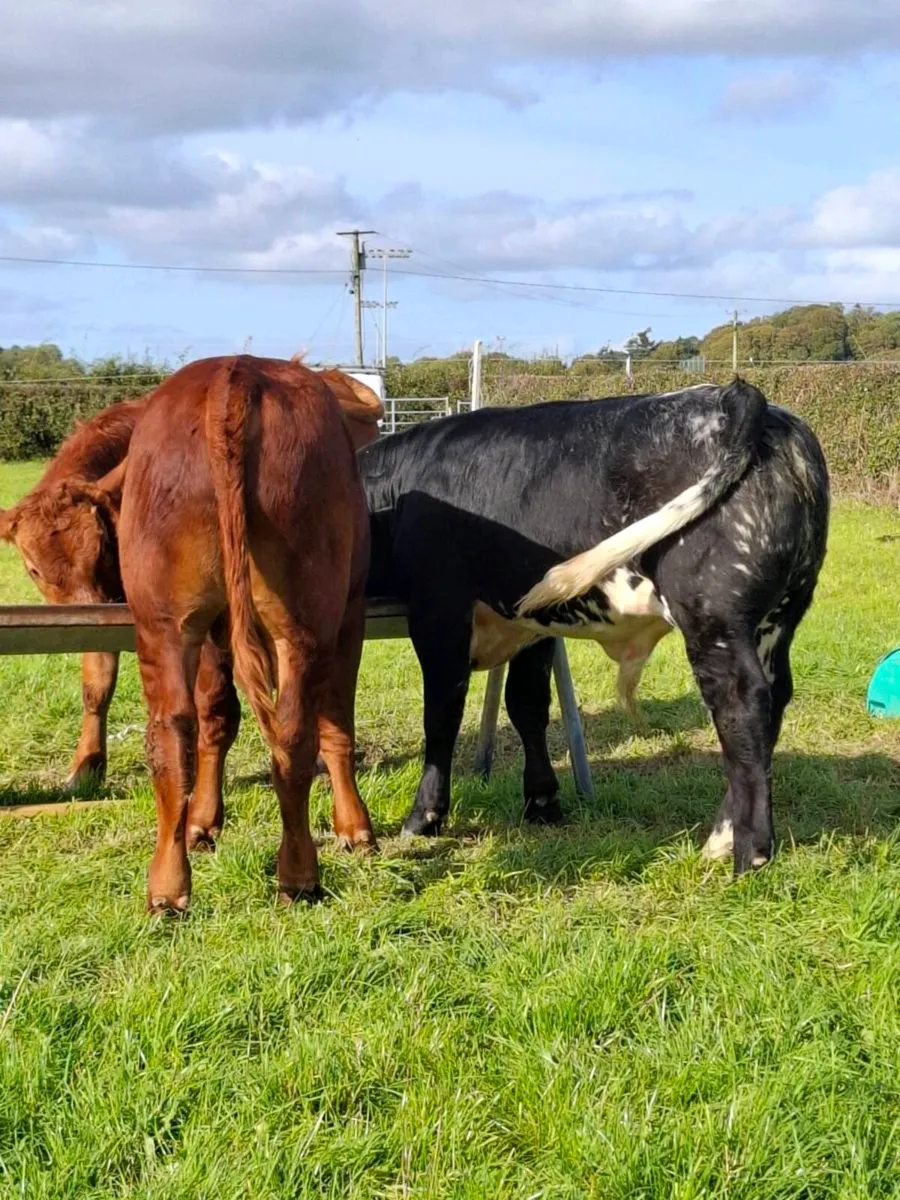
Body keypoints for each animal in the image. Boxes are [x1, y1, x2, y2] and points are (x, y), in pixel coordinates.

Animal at [359, 380, 829, 875]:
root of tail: (739, 397)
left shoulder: (439, 613)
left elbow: (441, 716)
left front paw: (424, 818)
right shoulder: (529, 622)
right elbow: (527, 706)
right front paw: (542, 802)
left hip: (713, 618)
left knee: (742, 706)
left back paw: (749, 853)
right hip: (779, 617)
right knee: (774, 700)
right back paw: (722, 838)